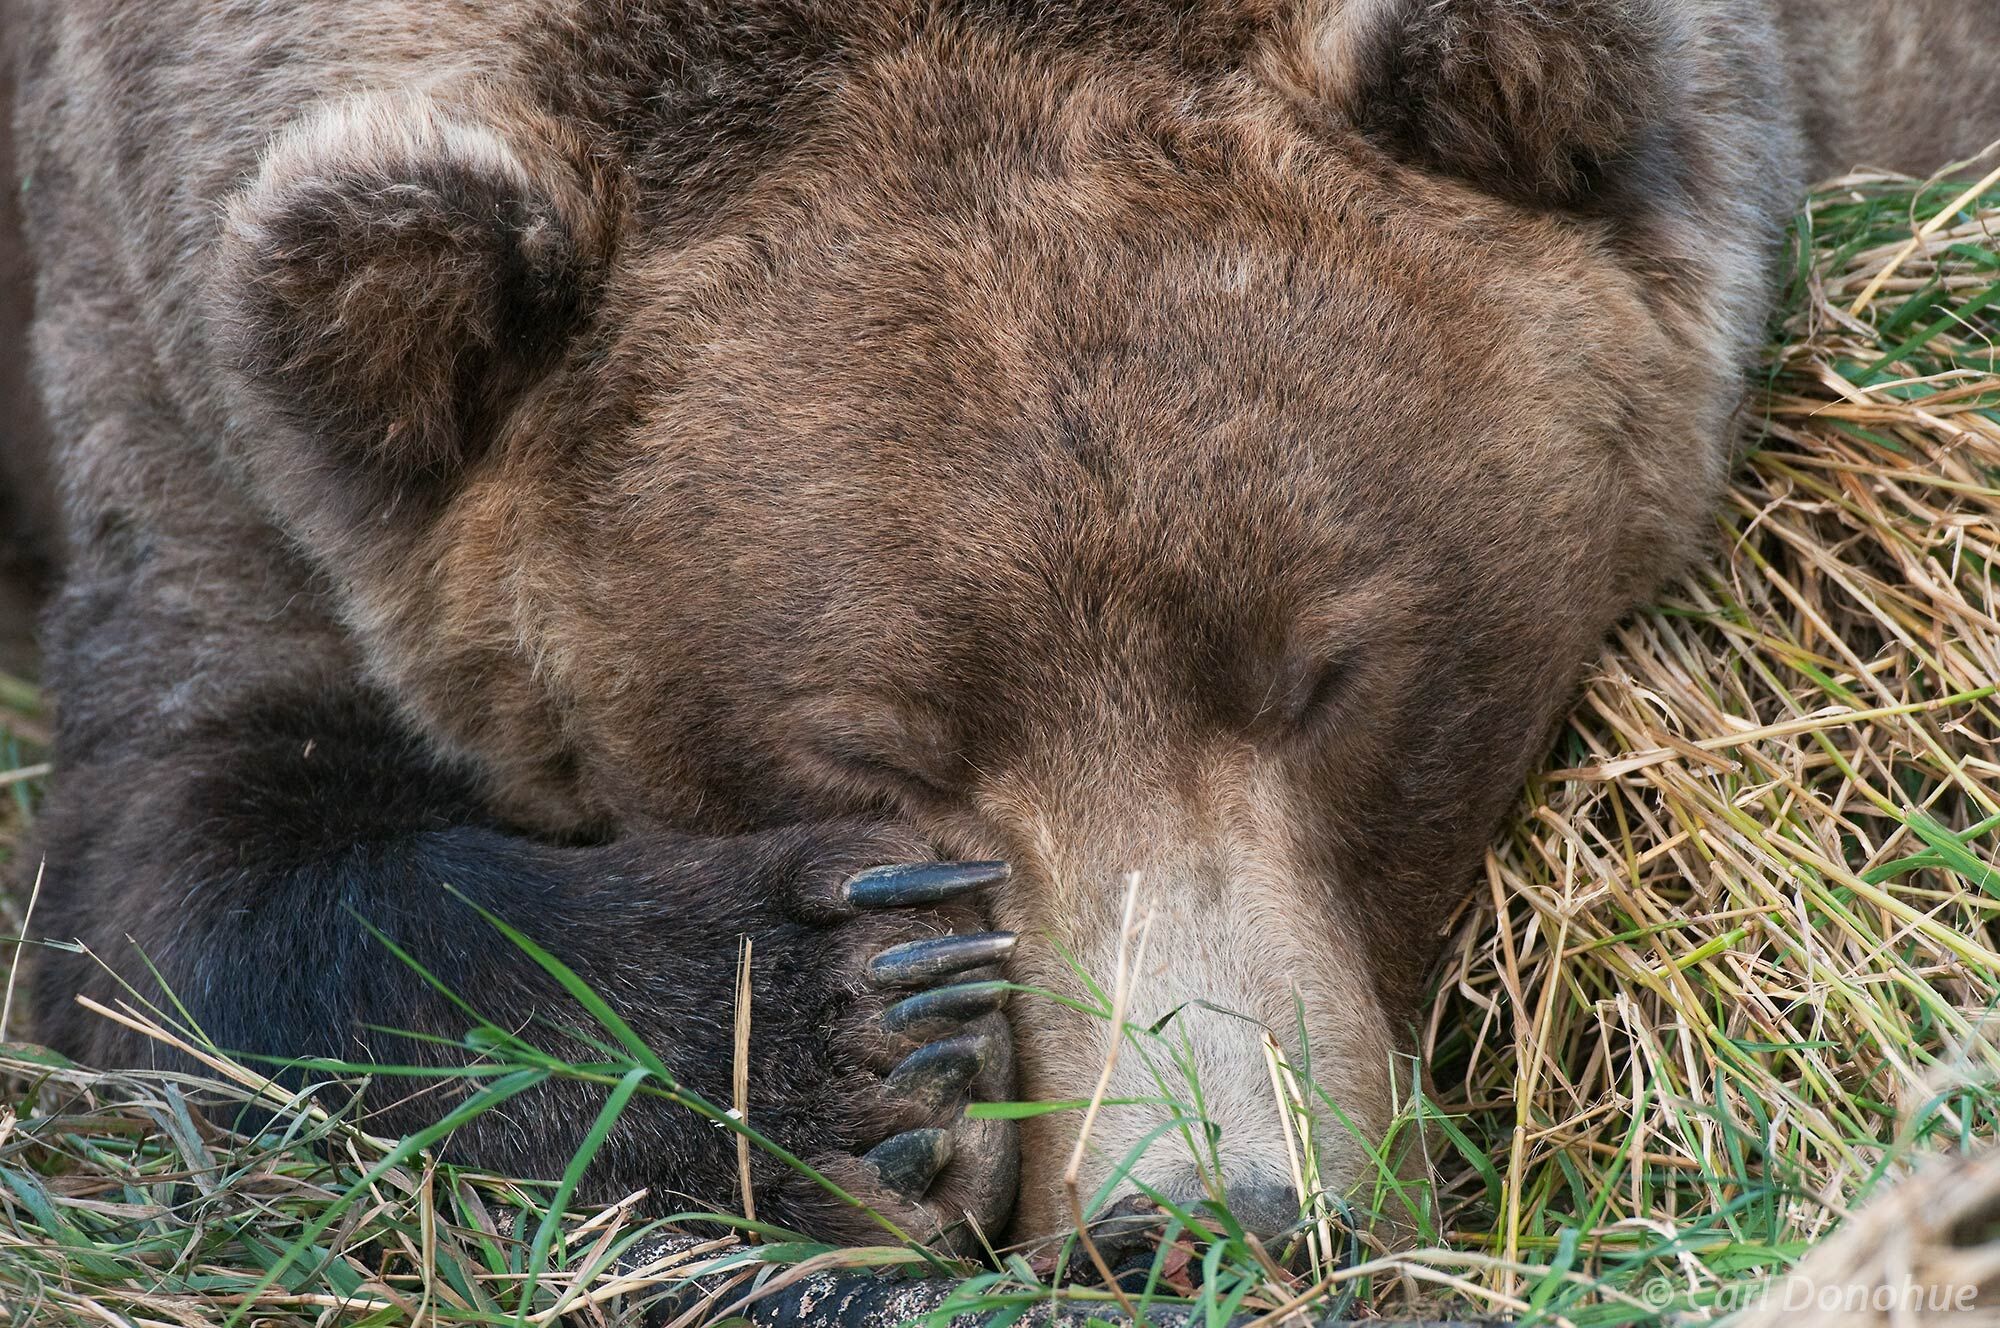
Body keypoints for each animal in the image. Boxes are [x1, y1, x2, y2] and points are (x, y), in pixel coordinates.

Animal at [3, 0, 2000, 1248]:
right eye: (881, 751)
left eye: (1329, 673)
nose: (1208, 1213)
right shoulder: (181, 358)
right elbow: (175, 880)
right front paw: (858, 1031)